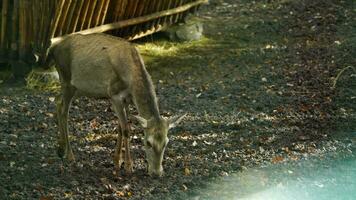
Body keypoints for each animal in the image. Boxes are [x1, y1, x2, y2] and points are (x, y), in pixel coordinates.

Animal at [46, 33, 186, 177]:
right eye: (148, 142)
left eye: (166, 142)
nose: (157, 173)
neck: (131, 78)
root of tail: (53, 48)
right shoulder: (113, 95)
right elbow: (126, 130)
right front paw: (129, 166)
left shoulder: (127, 99)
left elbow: (120, 128)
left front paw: (117, 161)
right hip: (66, 78)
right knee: (64, 111)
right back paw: (69, 155)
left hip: (78, 88)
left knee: (58, 100)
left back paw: (60, 149)